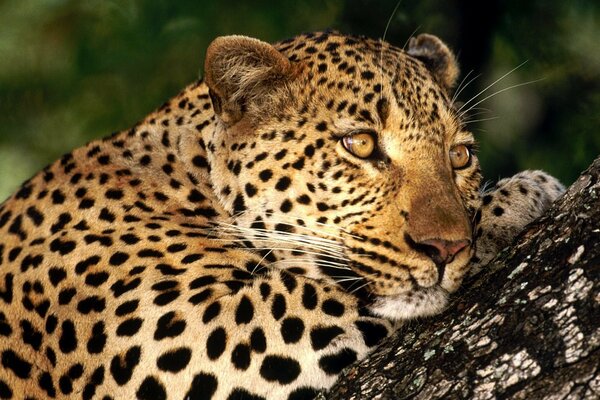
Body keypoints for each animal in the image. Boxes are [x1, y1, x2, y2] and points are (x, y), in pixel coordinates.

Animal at [0, 29, 564, 398]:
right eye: (360, 144)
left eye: (460, 156)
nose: (447, 248)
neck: (185, 173)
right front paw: (522, 195)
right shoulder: (190, 333)